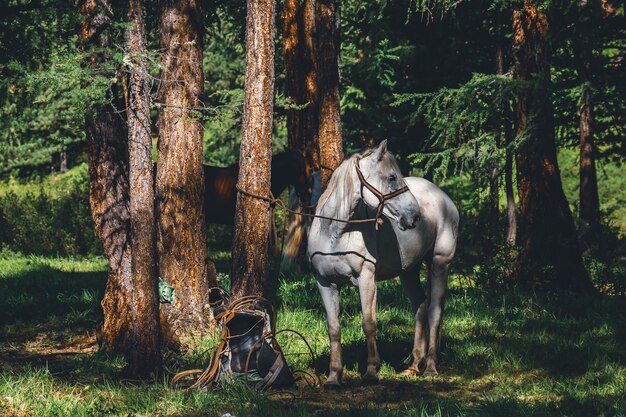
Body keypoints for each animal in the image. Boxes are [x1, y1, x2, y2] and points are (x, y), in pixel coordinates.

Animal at [308, 141, 458, 386]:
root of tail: (444, 197)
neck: (336, 234)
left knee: (434, 311)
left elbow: (369, 324)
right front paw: (333, 377)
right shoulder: (325, 283)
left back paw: (430, 368)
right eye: (391, 177)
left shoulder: (366, 279)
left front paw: (371, 372)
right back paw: (414, 366)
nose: (414, 216)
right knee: (420, 306)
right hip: (409, 272)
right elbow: (334, 328)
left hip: (440, 264)